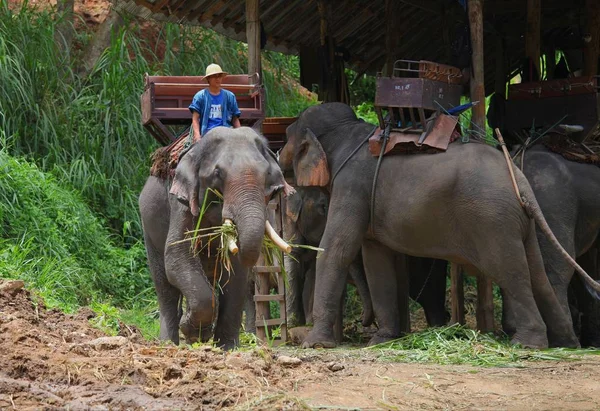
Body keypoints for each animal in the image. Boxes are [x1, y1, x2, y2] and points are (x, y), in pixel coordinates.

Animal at [141, 126, 290, 350]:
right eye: (217, 173)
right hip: (149, 227)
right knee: (164, 284)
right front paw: (193, 332)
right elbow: (177, 255)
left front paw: (226, 347)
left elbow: (236, 273)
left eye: (267, 175)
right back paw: (169, 343)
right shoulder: (181, 201)